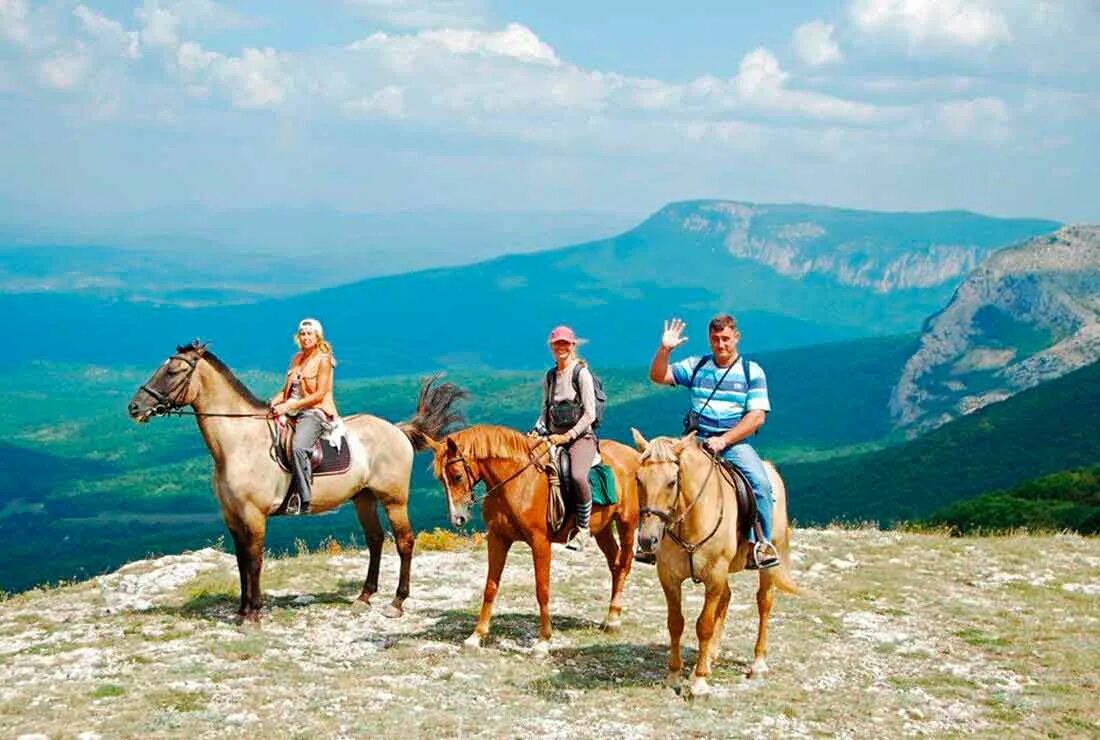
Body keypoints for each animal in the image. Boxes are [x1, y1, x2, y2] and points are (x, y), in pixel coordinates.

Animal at [128, 343, 464, 620]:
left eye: (173, 371)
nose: (134, 407)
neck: (238, 444)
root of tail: (398, 429)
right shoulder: (233, 516)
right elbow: (240, 561)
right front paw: (242, 610)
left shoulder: (254, 515)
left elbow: (254, 561)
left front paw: (253, 614)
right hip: (364, 498)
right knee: (375, 539)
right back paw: (364, 597)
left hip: (394, 499)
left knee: (405, 542)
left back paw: (397, 603)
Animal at [415, 424, 642, 655]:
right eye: (441, 479)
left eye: (458, 476)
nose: (457, 519)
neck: (516, 483)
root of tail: (634, 455)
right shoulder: (497, 539)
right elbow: (490, 587)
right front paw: (476, 636)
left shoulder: (540, 542)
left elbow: (542, 589)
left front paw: (543, 641)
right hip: (603, 529)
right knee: (614, 564)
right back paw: (609, 618)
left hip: (627, 523)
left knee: (624, 564)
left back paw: (613, 620)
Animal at [629, 426, 800, 694]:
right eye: (638, 479)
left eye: (672, 481)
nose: (647, 540)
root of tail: (771, 471)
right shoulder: (669, 577)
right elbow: (675, 622)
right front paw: (674, 676)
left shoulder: (715, 575)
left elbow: (704, 625)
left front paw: (699, 683)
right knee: (727, 597)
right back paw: (710, 657)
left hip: (767, 564)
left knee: (764, 602)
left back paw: (758, 664)